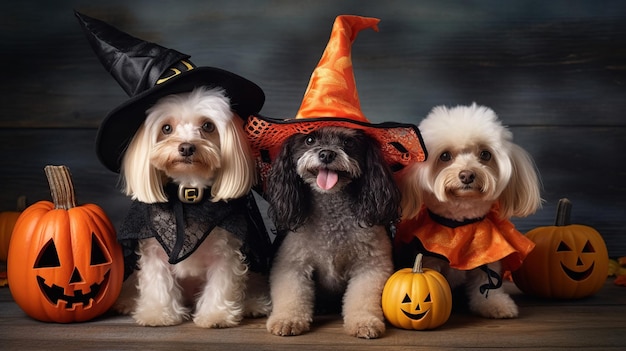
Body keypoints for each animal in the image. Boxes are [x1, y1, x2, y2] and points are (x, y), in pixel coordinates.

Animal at [113, 87, 270, 328]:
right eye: (166, 128)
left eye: (208, 126)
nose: (186, 147)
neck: (189, 196)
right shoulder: (153, 252)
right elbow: (158, 283)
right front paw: (158, 314)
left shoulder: (226, 252)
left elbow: (221, 283)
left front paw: (216, 315)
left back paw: (252, 304)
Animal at [398, 104, 540, 320]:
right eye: (445, 156)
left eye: (485, 154)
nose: (467, 175)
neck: (460, 224)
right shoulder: (429, 257)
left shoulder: (487, 258)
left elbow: (486, 284)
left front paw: (496, 305)